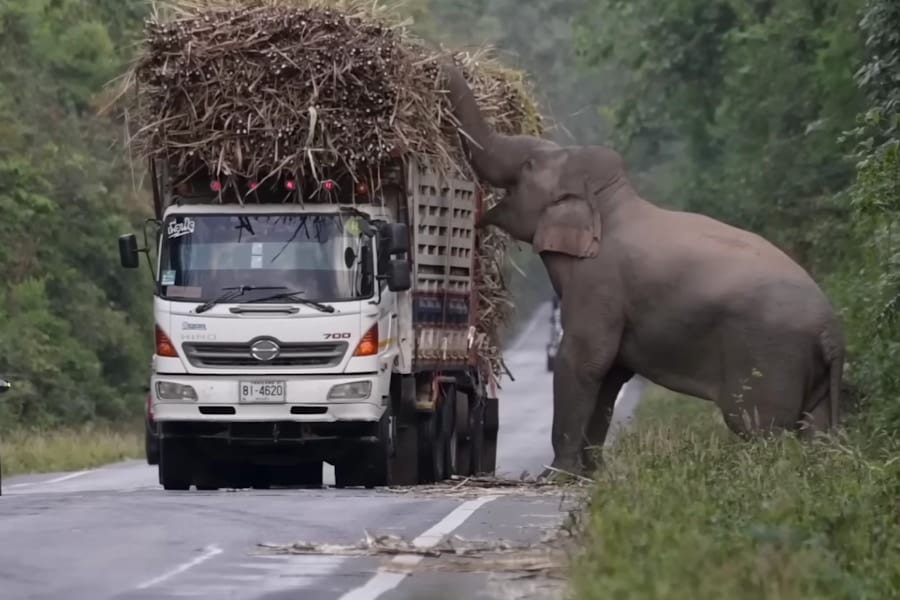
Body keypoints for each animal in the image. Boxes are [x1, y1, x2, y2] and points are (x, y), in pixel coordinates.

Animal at [442, 63, 844, 478]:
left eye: (528, 166)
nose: (446, 64)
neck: (608, 201)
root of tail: (832, 331)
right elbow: (611, 373)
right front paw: (590, 473)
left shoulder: (598, 284)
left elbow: (584, 359)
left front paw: (555, 475)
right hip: (811, 376)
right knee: (815, 430)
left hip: (769, 358)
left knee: (761, 429)